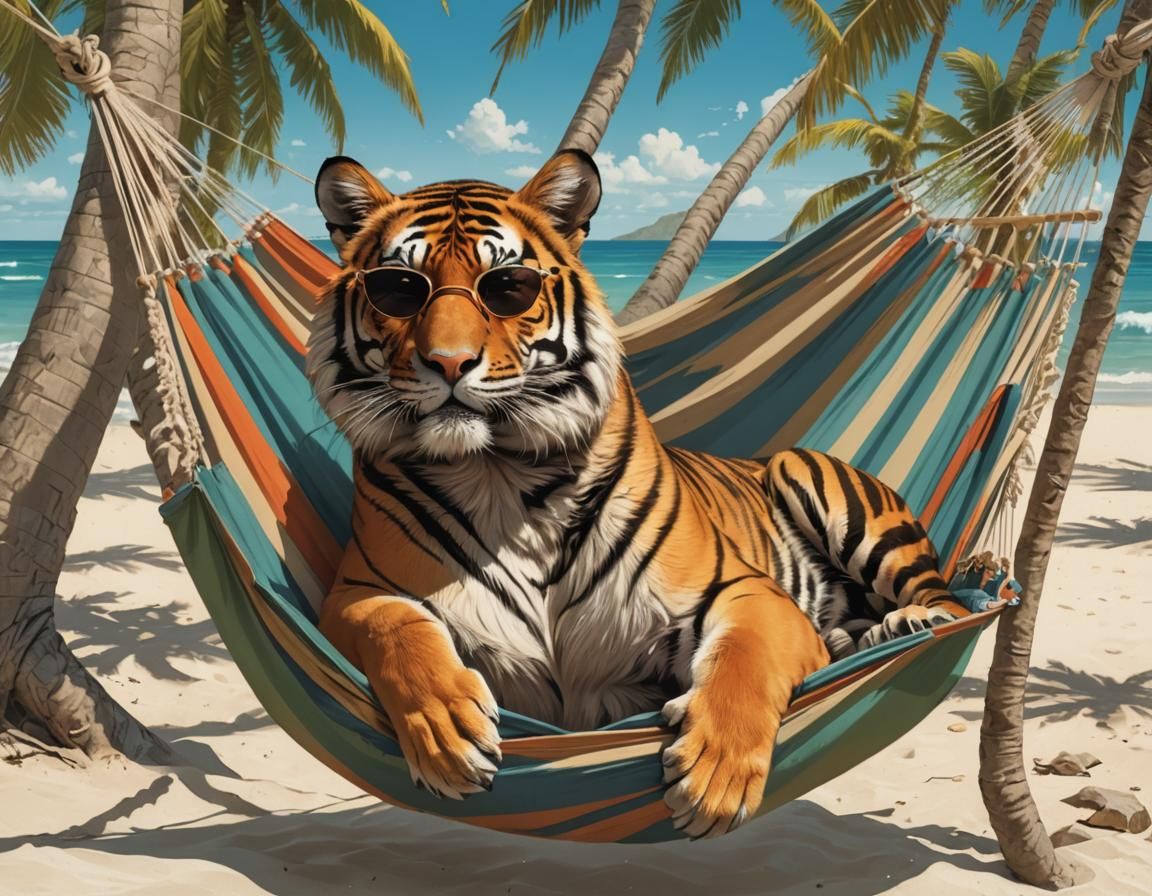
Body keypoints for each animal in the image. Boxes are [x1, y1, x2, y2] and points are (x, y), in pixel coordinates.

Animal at [307, 149, 985, 839]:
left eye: (507, 286)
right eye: (398, 288)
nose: (449, 362)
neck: (497, 473)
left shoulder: (742, 591)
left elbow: (744, 656)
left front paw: (714, 779)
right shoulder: (354, 593)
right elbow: (396, 626)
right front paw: (447, 733)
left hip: (810, 476)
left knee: (944, 594)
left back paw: (913, 621)